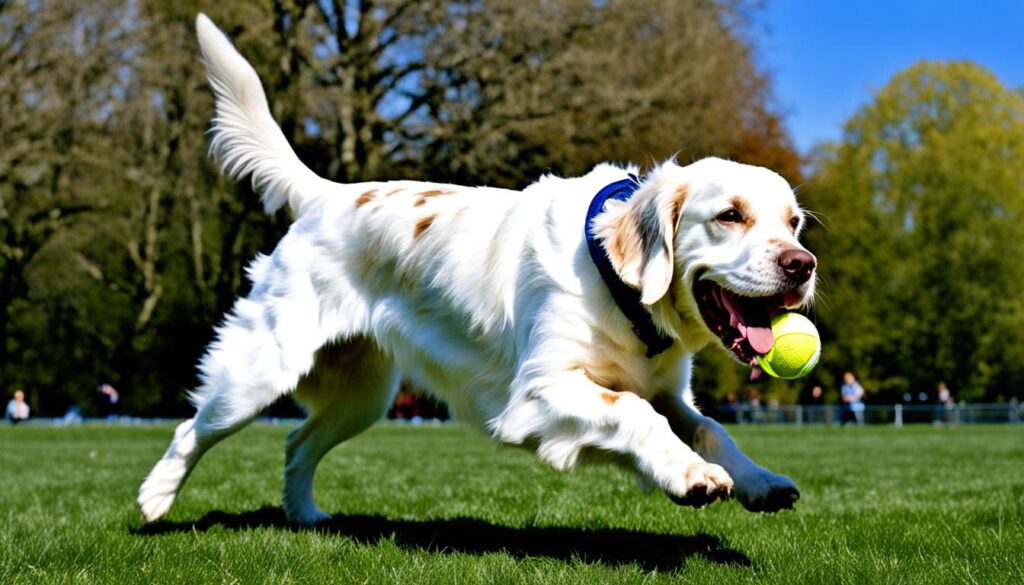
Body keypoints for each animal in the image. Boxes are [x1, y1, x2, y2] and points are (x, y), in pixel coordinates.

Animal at [140, 14, 819, 524]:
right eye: (729, 216)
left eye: (793, 224)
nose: (802, 266)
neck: (619, 290)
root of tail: (327, 194)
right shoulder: (538, 392)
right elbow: (636, 414)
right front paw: (690, 475)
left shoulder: (667, 391)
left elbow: (709, 429)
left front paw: (758, 479)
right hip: (257, 374)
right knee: (191, 430)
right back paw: (154, 501)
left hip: (363, 395)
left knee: (295, 444)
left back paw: (305, 516)